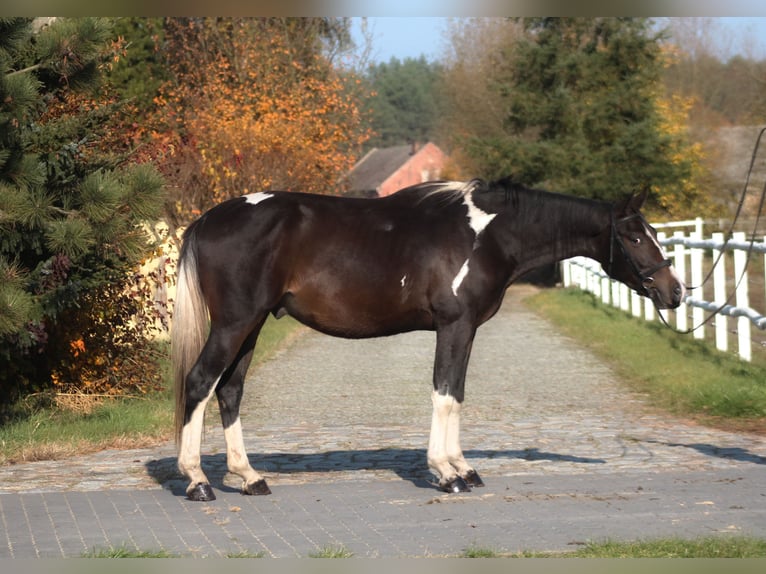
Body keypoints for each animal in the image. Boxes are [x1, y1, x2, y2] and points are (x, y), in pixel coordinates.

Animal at [171, 177, 685, 502]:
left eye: (654, 234)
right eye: (635, 238)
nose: (675, 292)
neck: (487, 234)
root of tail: (207, 220)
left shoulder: (467, 328)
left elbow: (456, 394)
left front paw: (464, 468)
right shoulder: (454, 325)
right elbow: (443, 394)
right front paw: (446, 473)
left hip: (253, 325)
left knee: (230, 390)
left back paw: (249, 477)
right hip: (236, 322)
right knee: (200, 382)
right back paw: (198, 482)